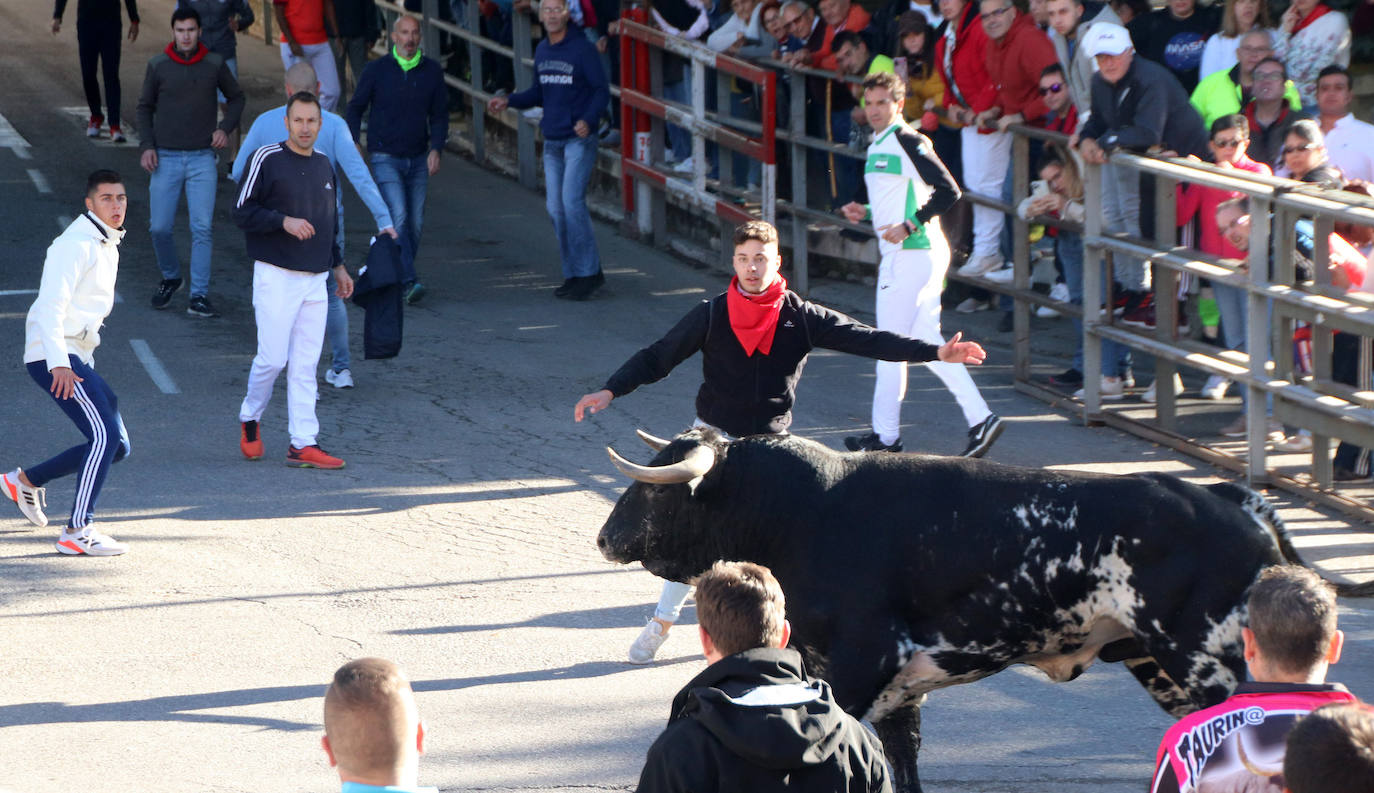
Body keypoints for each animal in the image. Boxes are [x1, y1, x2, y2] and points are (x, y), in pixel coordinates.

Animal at [593, 428, 1374, 786]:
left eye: (655, 491)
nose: (604, 535)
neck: (805, 509)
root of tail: (1228, 495)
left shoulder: (858, 663)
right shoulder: (900, 687)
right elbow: (903, 763)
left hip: (1210, 662)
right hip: (1160, 666)